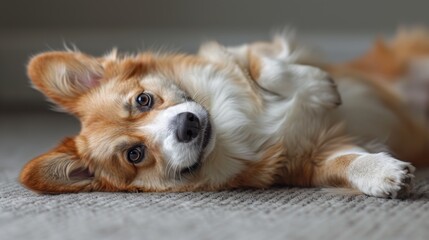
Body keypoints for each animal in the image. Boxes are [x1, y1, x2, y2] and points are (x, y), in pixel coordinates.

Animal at [20, 28, 429, 197]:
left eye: (143, 100)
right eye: (135, 155)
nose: (187, 124)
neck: (232, 128)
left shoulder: (252, 51)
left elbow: (266, 69)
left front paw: (319, 87)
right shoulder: (314, 157)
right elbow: (347, 163)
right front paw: (383, 175)